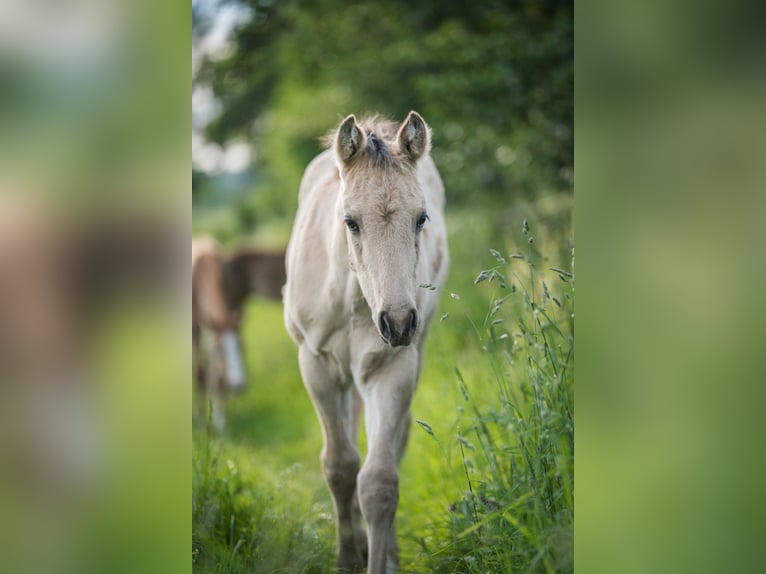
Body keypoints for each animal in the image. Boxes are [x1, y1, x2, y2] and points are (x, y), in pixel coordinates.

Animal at [192, 235, 247, 431]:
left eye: (241, 345)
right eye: (221, 349)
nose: (239, 385)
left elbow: (216, 373)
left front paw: (220, 422)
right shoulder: (197, 330)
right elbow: (200, 372)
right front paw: (202, 420)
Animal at [283, 111, 449, 573]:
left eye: (421, 218)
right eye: (350, 221)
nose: (398, 321)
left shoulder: (392, 368)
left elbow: (378, 481)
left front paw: (379, 558)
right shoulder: (317, 365)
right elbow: (340, 466)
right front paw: (347, 557)